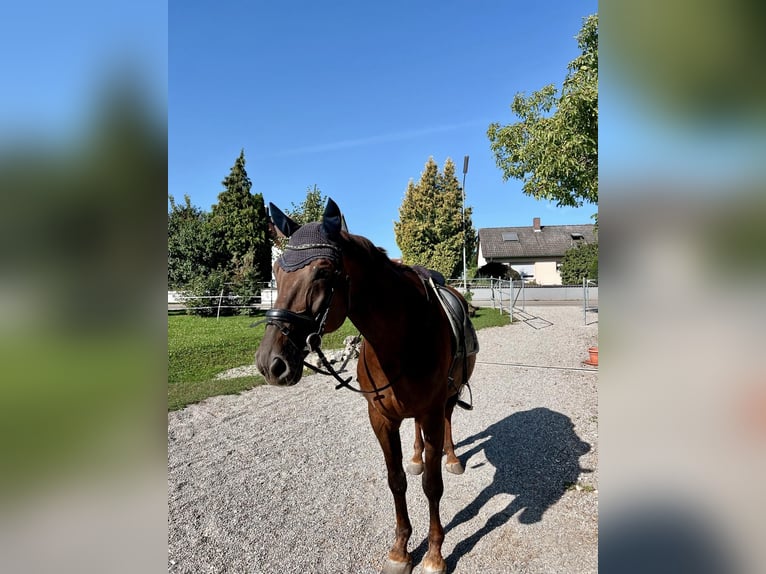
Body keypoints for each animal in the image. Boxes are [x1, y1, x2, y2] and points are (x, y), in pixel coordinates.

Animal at [255, 198, 477, 574]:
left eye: (323, 272)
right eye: (276, 272)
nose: (270, 362)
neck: (401, 338)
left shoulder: (431, 412)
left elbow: (432, 486)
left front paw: (434, 554)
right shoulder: (381, 417)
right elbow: (397, 480)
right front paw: (400, 551)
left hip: (450, 395)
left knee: (448, 421)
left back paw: (452, 457)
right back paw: (417, 456)